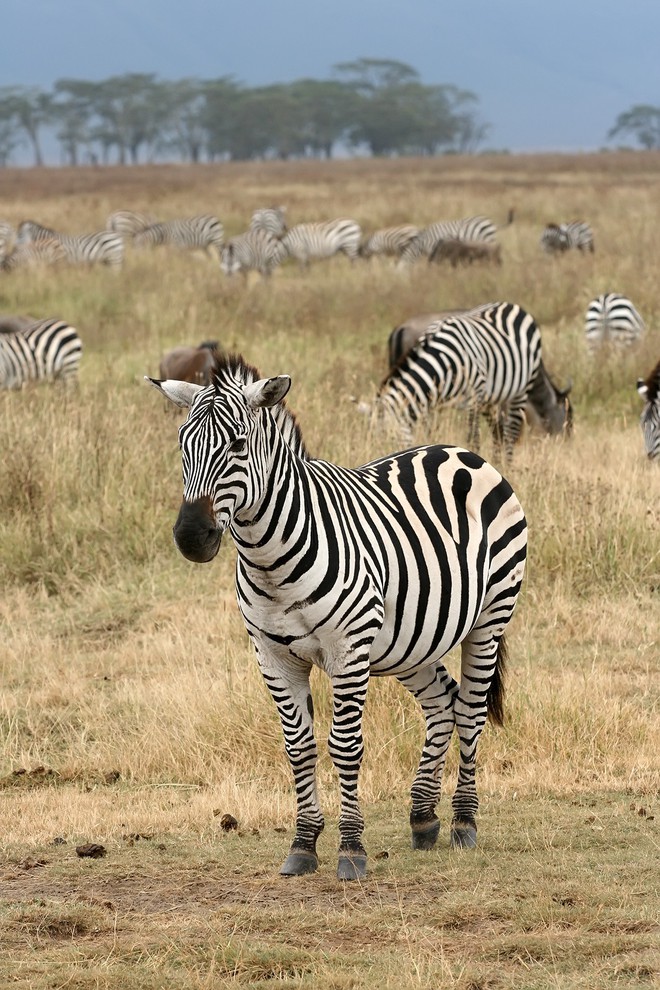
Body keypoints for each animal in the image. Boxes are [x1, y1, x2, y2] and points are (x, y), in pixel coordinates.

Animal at [147, 352, 528, 880]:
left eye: (239, 445)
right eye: (184, 447)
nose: (190, 537)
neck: (271, 561)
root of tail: (460, 451)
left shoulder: (347, 649)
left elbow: (345, 746)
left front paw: (351, 849)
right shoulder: (272, 657)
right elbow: (298, 747)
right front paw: (304, 843)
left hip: (490, 616)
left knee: (470, 710)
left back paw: (463, 823)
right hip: (410, 640)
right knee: (442, 702)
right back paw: (423, 817)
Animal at [366, 300, 548, 464]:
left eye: (388, 439)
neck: (443, 363)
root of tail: (511, 305)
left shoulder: (473, 397)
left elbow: (473, 438)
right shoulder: (433, 403)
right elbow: (430, 433)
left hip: (521, 389)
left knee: (512, 430)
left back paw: (508, 465)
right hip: (491, 398)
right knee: (498, 429)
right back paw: (497, 462)